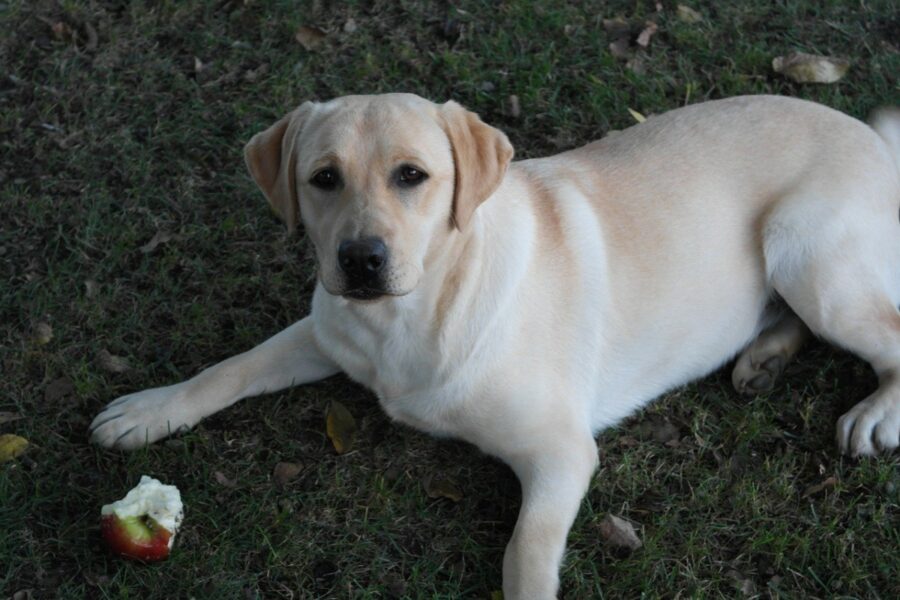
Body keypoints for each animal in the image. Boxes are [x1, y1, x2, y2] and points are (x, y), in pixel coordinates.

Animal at [89, 92, 900, 596]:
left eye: (411, 175)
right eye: (323, 179)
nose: (361, 259)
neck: (412, 318)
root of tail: (873, 137)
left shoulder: (563, 450)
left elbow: (527, 550)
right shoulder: (327, 327)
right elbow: (231, 367)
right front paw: (150, 410)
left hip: (803, 250)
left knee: (889, 336)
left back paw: (871, 413)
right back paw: (764, 356)